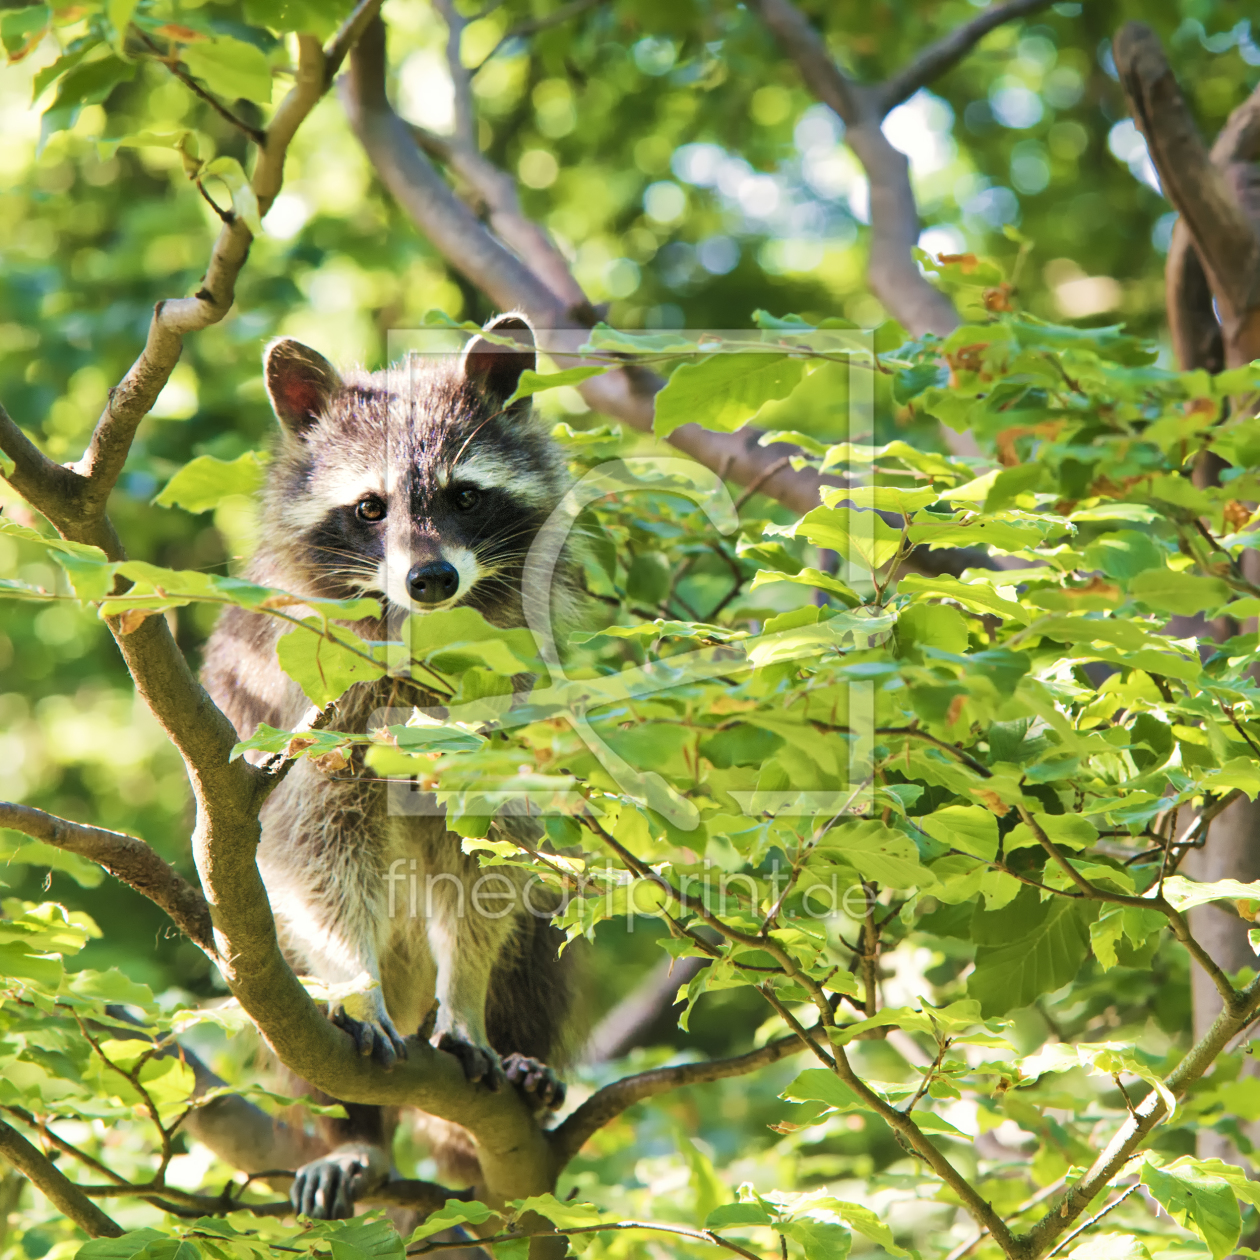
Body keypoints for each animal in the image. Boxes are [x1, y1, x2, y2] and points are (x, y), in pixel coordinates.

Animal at [201, 315, 579, 1219]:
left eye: (465, 496)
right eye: (370, 508)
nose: (431, 577)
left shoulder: (510, 687)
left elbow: (493, 855)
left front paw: (467, 999)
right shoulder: (308, 705)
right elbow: (314, 845)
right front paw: (356, 976)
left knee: (539, 926)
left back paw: (521, 1051)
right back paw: (356, 1133)